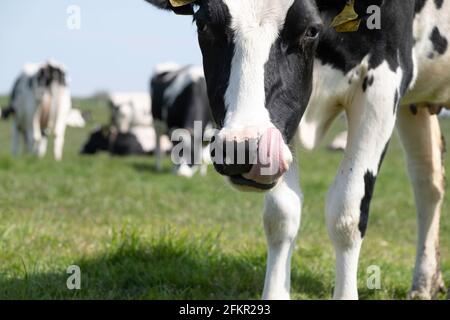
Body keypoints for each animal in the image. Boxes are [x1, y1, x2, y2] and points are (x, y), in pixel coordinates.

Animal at [146, 0, 448, 300]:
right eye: (202, 24)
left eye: (311, 30)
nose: (242, 150)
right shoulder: (285, 124)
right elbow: (281, 214)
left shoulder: (384, 80)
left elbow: (346, 213)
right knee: (427, 181)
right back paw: (424, 283)